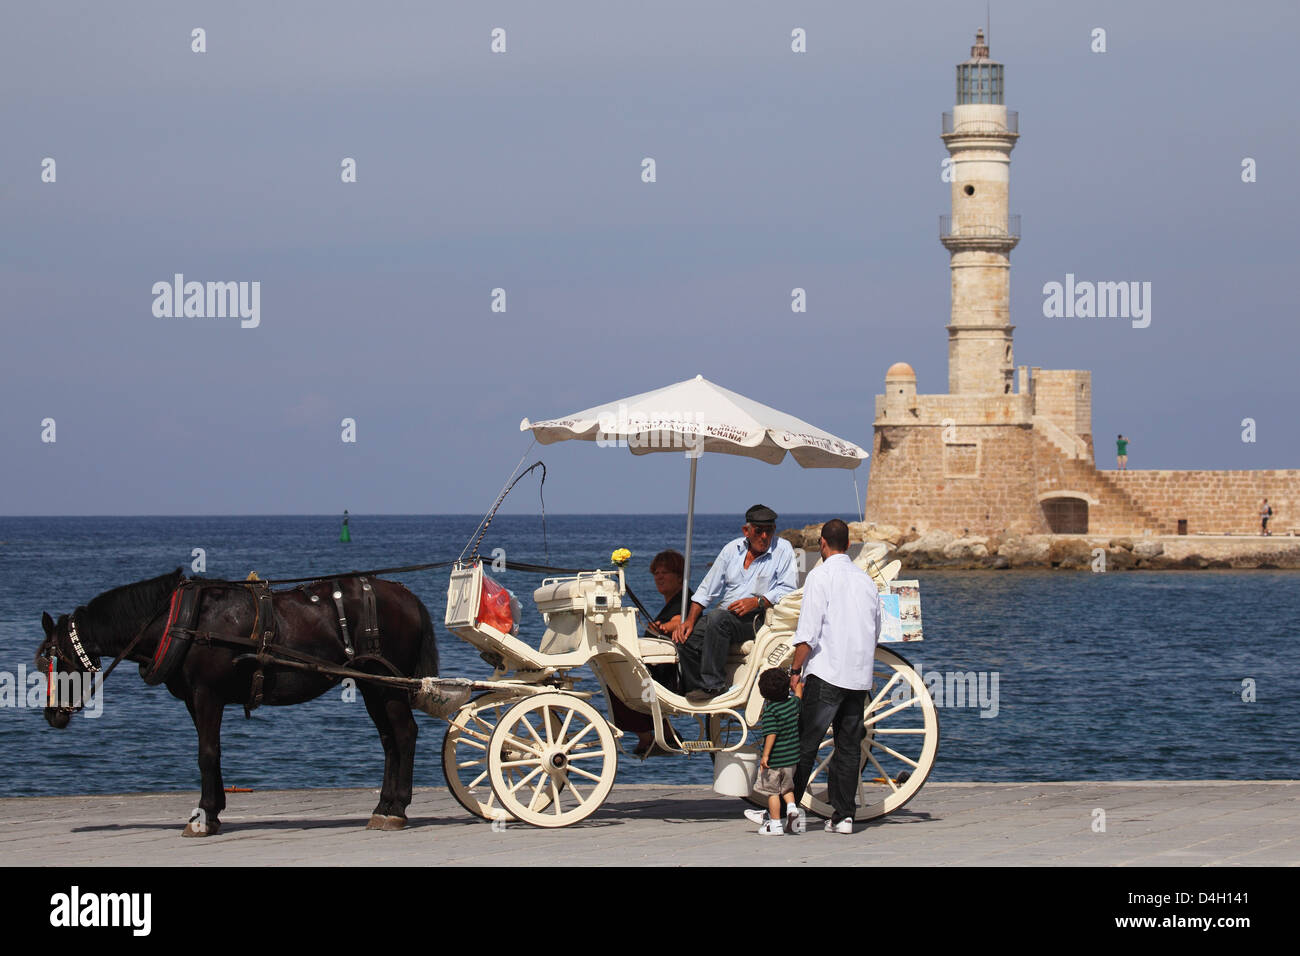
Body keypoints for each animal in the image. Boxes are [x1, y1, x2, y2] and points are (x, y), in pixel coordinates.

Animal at [35, 572, 439, 832]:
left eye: (53, 661)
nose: (52, 715)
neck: (180, 622)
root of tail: (408, 596)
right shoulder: (194, 700)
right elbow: (210, 752)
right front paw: (211, 812)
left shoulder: (207, 695)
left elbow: (207, 753)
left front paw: (204, 816)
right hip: (374, 685)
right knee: (389, 741)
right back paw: (384, 805)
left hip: (387, 685)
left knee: (405, 735)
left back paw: (397, 808)